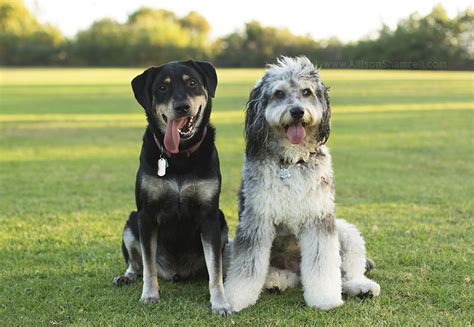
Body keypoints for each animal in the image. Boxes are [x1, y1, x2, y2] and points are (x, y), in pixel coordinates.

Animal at [115, 60, 233, 316]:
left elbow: (215, 269)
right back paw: (126, 276)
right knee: (136, 263)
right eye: (162, 87)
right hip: (131, 221)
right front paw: (149, 295)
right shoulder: (146, 215)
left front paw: (221, 302)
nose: (182, 107)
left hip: (222, 222)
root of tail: (177, 273)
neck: (179, 156)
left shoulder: (210, 216)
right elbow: (148, 264)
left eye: (192, 82)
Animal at [223, 56, 382, 312]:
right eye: (278, 93)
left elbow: (323, 265)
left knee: (348, 270)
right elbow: (248, 266)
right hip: (229, 246)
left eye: (306, 92)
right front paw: (236, 298)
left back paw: (361, 287)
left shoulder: (319, 220)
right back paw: (275, 281)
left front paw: (325, 298)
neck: (291, 162)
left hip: (346, 232)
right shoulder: (256, 220)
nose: (297, 112)